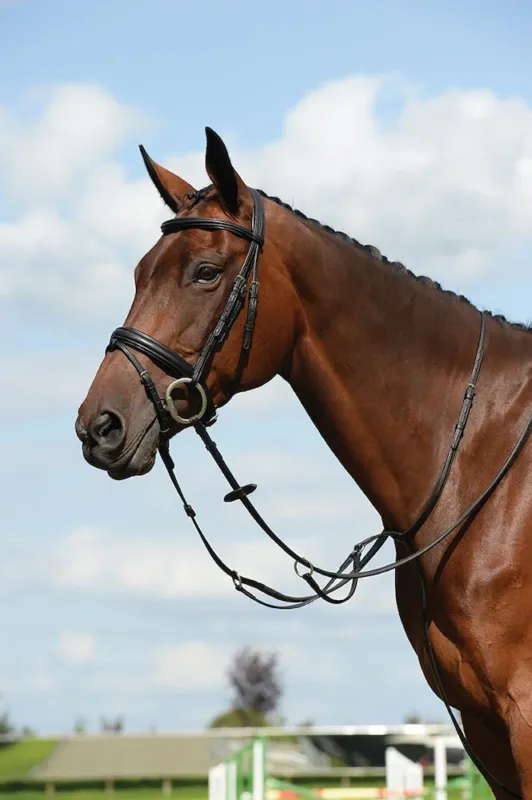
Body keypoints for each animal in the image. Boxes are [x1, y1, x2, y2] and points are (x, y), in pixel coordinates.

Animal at [76, 127, 532, 796]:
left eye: (206, 272)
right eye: (138, 273)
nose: (99, 425)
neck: (481, 466)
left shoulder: (522, 712)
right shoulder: (485, 728)